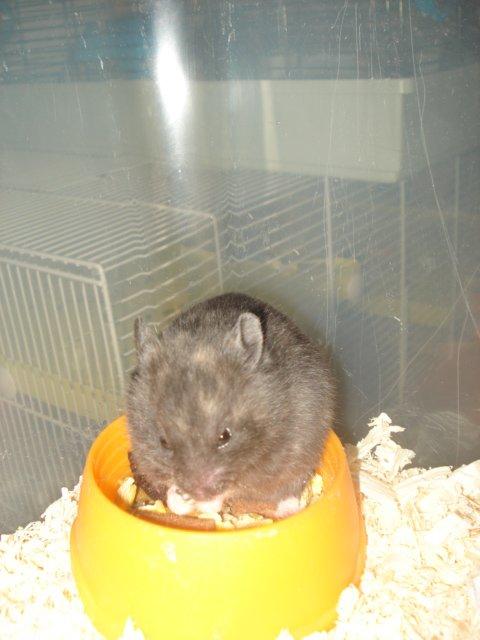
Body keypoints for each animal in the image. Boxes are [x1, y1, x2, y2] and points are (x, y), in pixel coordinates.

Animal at [126, 292, 336, 519]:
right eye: (163, 442)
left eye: (225, 436)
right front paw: (179, 501)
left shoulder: (269, 460)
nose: (199, 495)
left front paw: (206, 505)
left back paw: (288, 509)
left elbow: (235, 486)